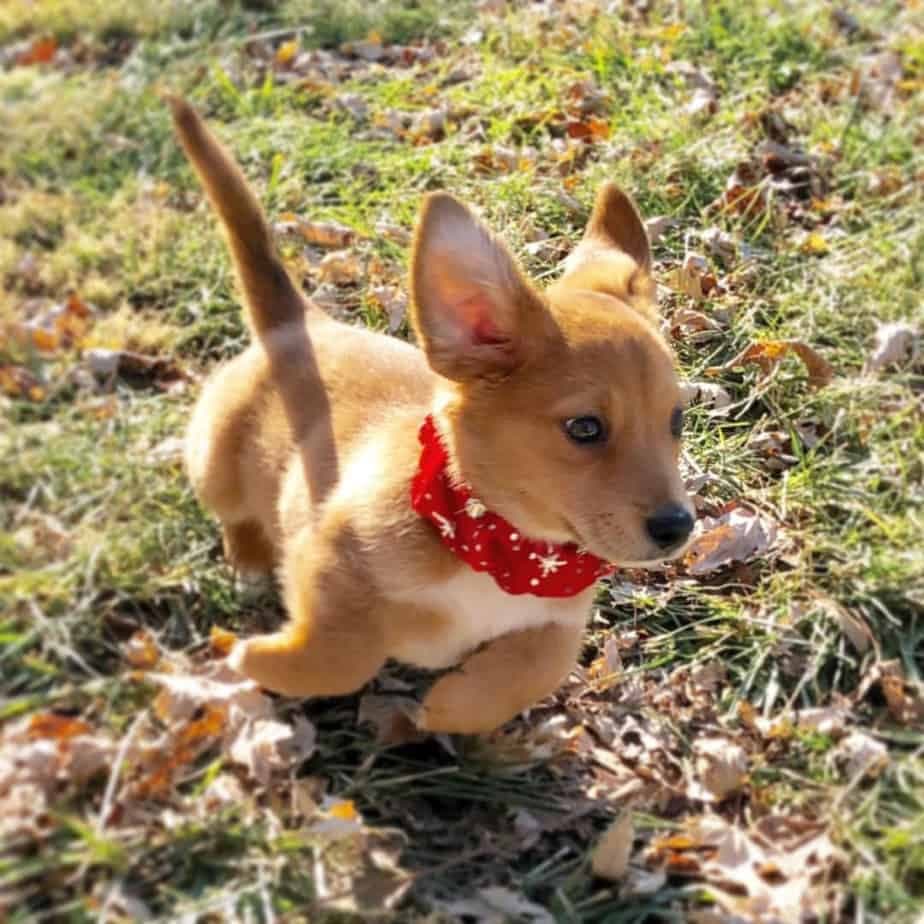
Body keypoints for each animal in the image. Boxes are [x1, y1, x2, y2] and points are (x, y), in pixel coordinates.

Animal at [168, 97, 692, 732]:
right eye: (585, 428)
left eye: (677, 421)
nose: (679, 528)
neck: (501, 549)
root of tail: (302, 321)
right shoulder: (327, 559)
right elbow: (342, 656)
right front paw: (255, 658)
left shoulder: (558, 621)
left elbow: (534, 668)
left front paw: (450, 708)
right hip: (213, 464)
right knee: (233, 511)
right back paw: (246, 559)